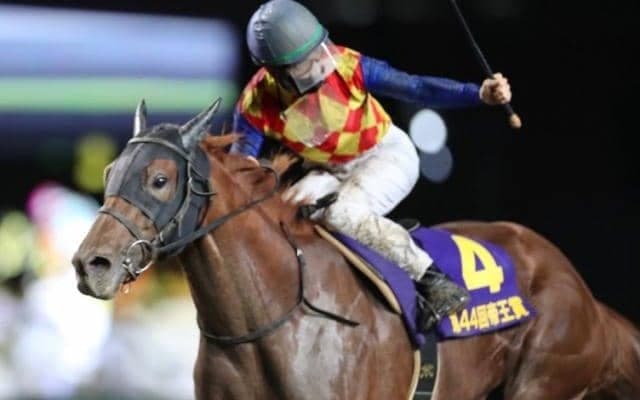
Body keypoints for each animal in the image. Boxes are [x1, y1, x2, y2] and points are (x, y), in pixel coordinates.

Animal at [72, 100, 640, 400]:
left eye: (160, 179)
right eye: (110, 172)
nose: (90, 264)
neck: (272, 319)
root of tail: (587, 297)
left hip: (545, 378)